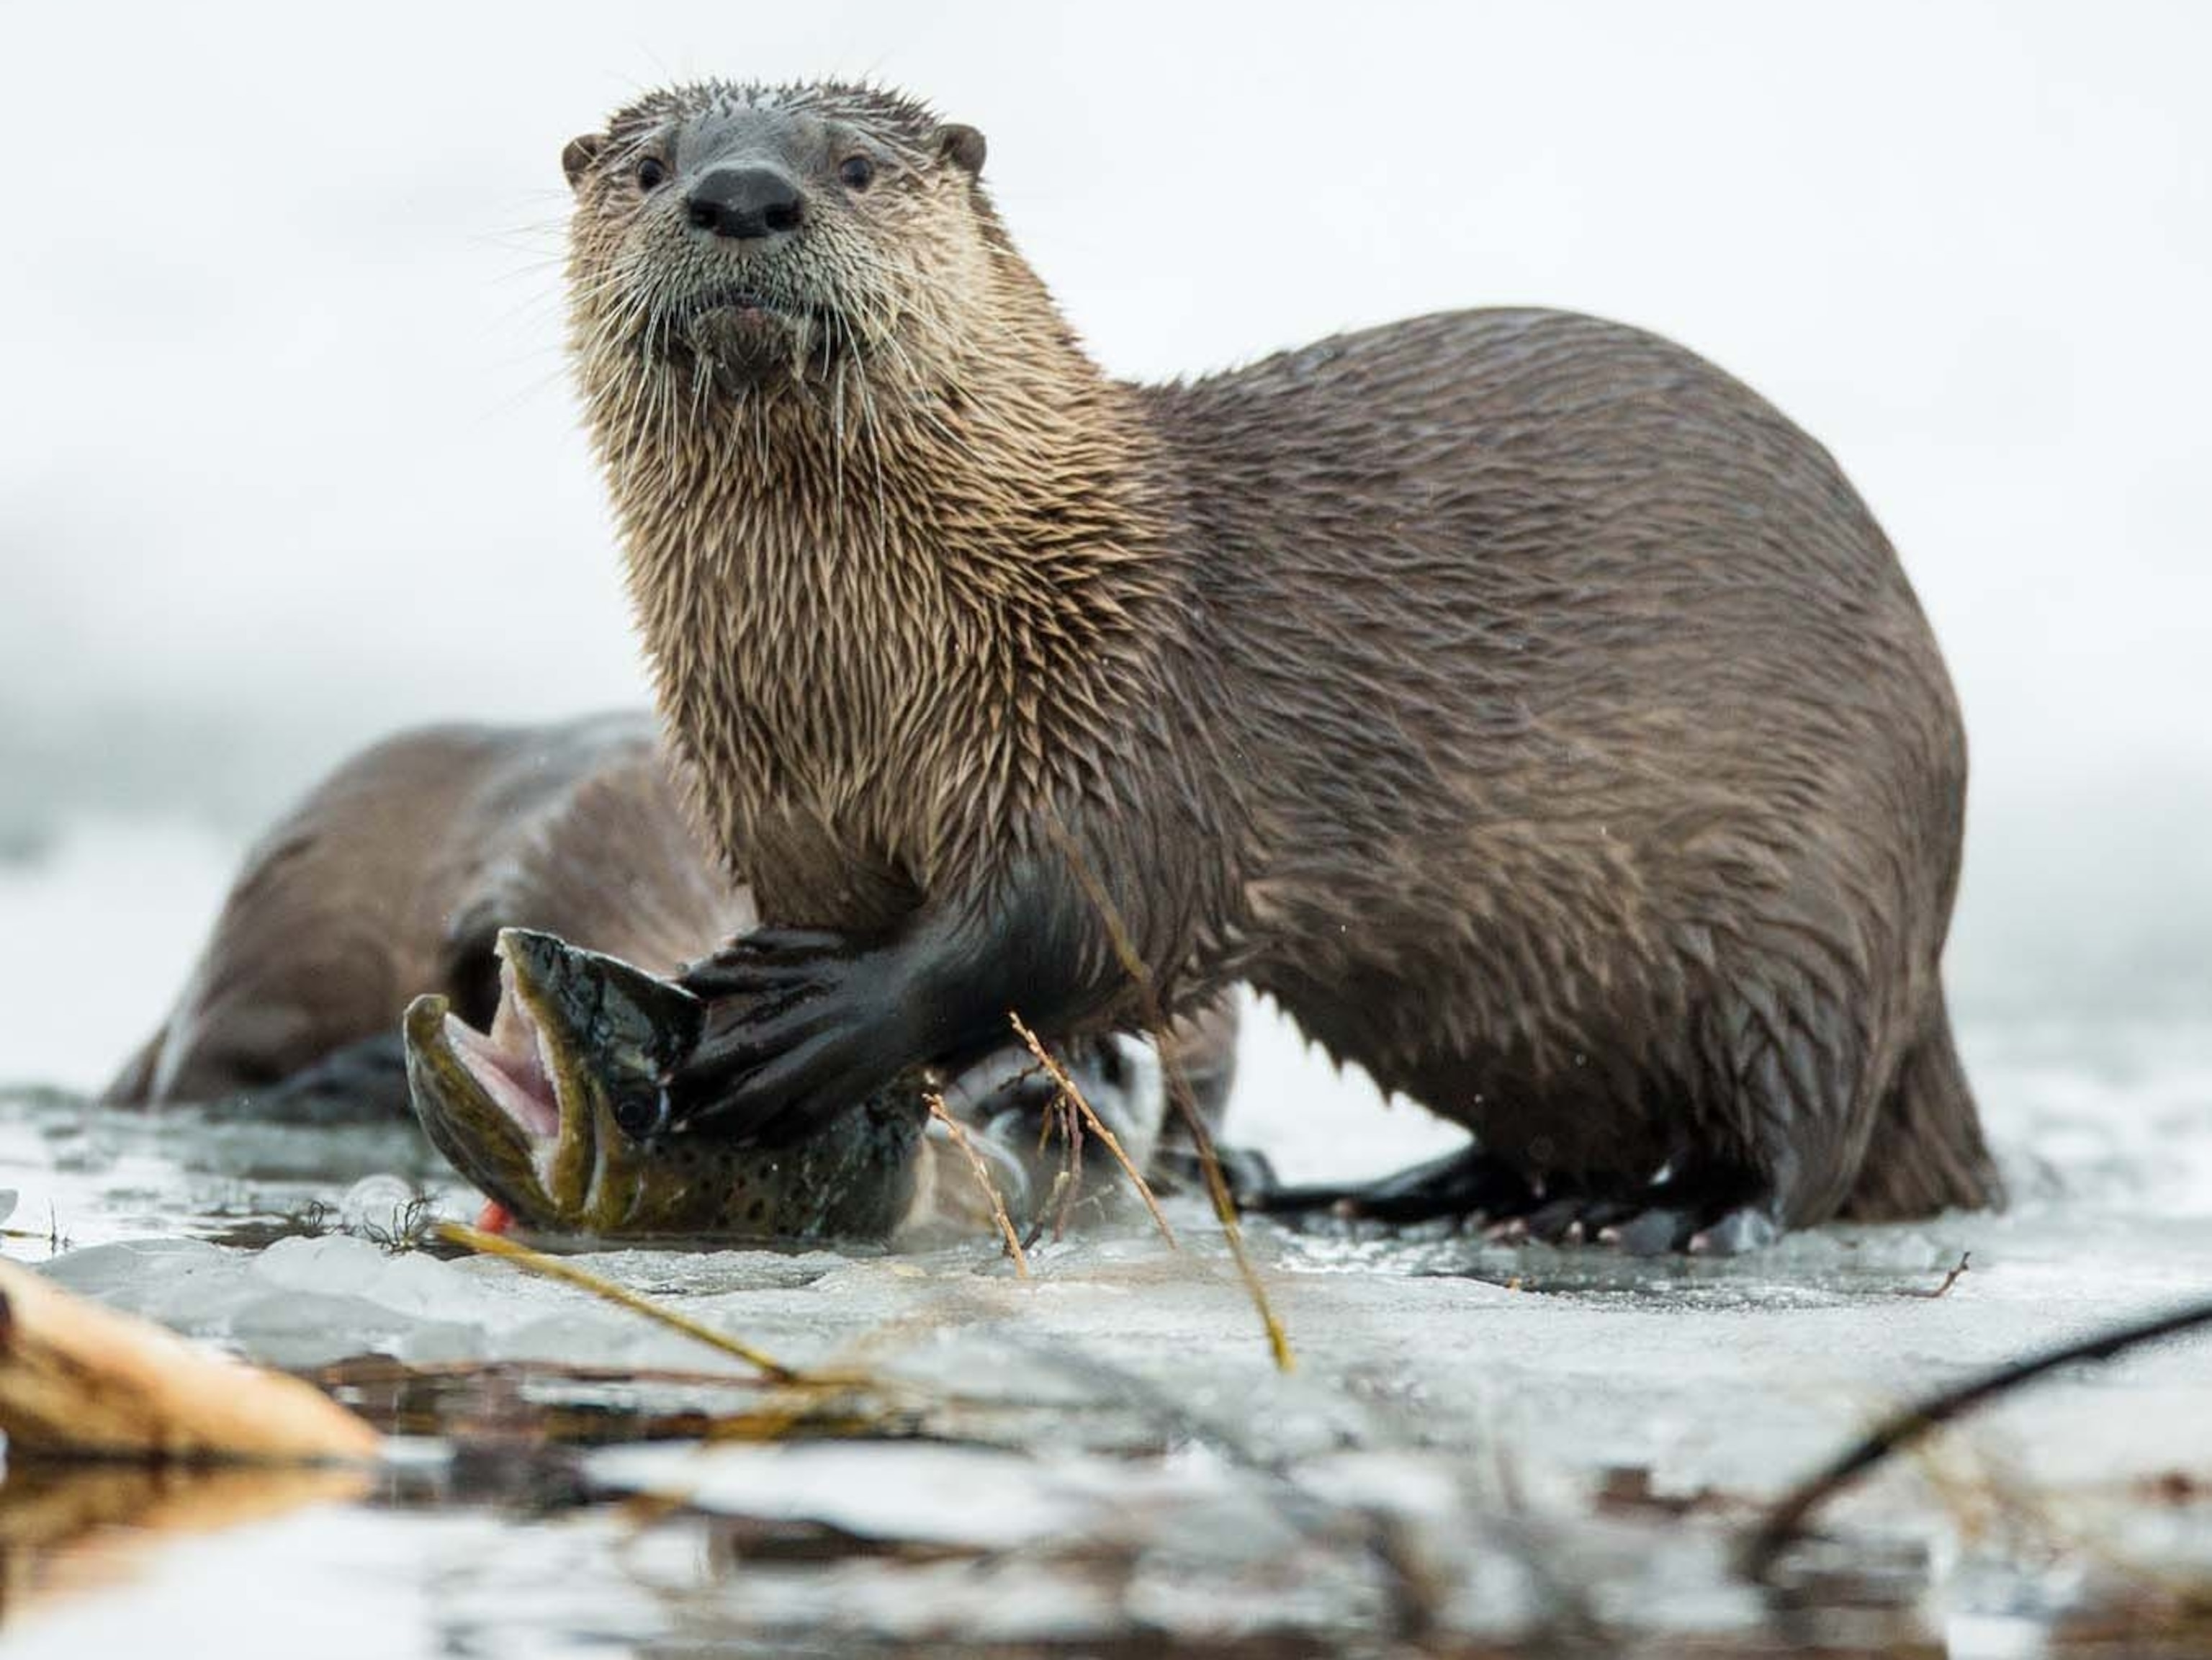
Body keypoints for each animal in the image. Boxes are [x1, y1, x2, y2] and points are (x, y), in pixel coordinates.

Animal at [562, 81, 1998, 1252]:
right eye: (646, 167)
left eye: (855, 165)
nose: (743, 193)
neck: (867, 671)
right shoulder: (774, 796)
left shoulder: (1134, 713)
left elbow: (1078, 917)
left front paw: (832, 1017)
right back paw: (1407, 1192)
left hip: (1814, 900)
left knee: (1804, 1132)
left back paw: (1679, 1214)